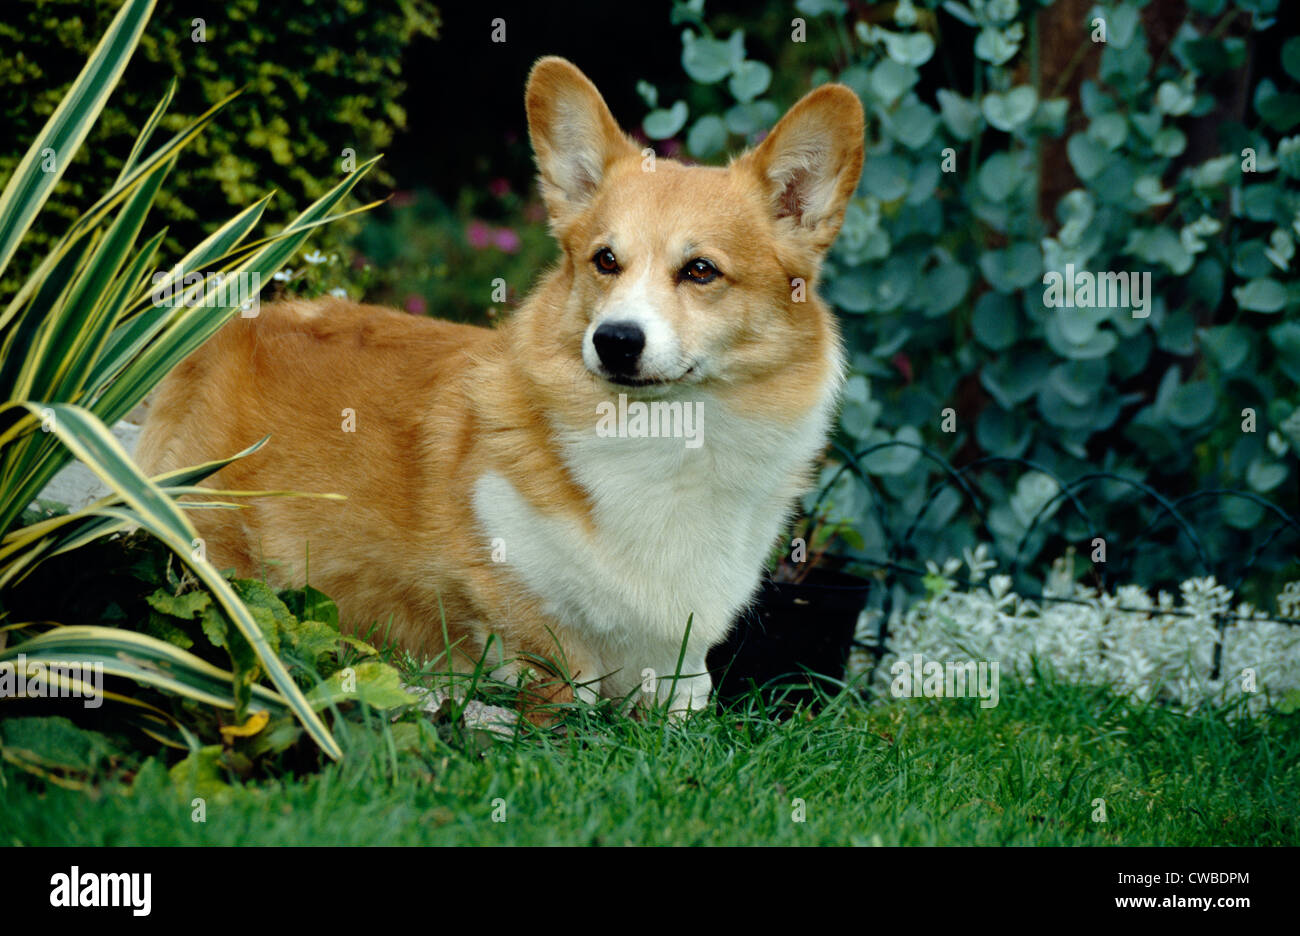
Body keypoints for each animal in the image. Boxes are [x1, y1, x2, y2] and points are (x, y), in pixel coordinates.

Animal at [139, 58, 863, 712]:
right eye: (605, 260)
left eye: (701, 271)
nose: (614, 340)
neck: (665, 437)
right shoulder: (517, 615)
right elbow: (559, 682)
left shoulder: (681, 662)